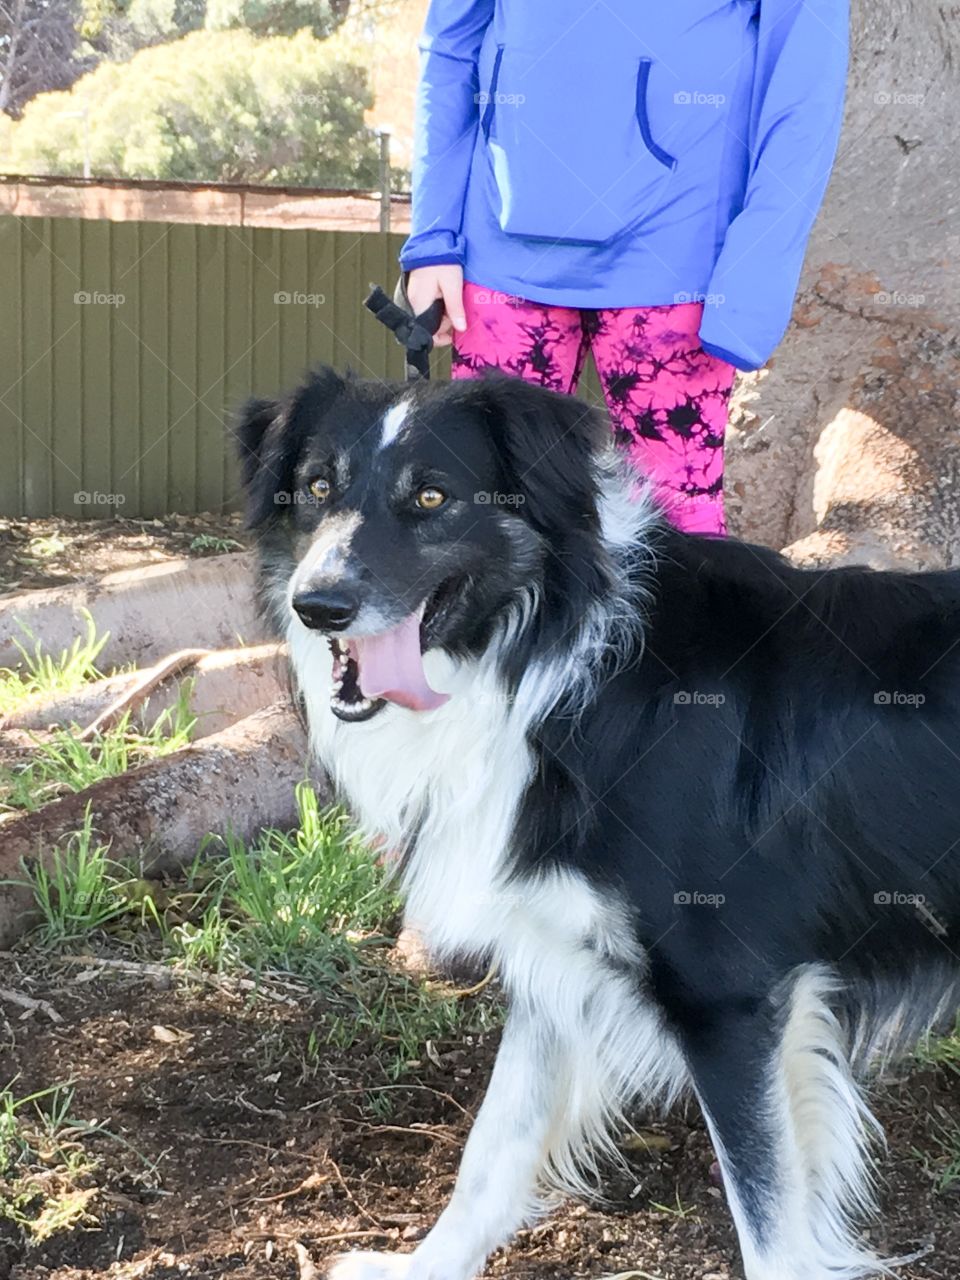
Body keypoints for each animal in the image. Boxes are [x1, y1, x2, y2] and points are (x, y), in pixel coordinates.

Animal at [236, 363, 960, 1280]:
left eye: (434, 497)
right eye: (317, 488)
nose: (318, 606)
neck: (558, 664)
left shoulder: (728, 996)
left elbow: (766, 1220)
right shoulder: (551, 957)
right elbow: (492, 1147)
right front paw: (428, 1265)